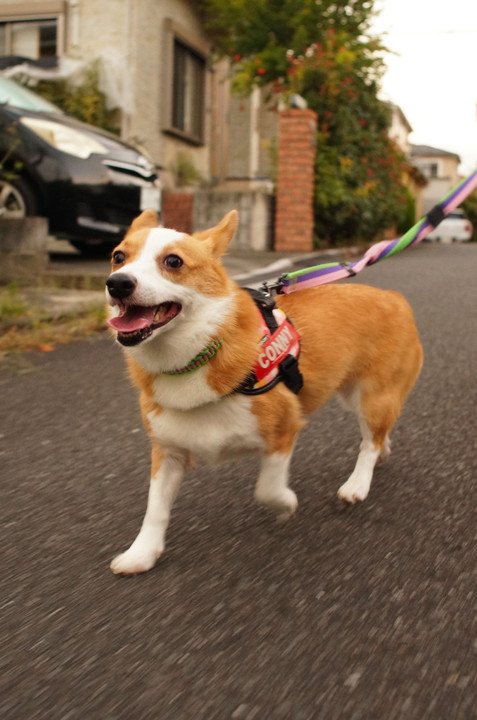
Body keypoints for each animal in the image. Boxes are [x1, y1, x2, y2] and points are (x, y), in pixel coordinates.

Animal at [104, 208, 420, 572]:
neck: (196, 358)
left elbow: (267, 489)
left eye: (173, 261)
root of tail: (394, 297)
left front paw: (286, 504)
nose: (118, 283)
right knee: (378, 437)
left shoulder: (283, 432)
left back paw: (357, 484)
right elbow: (154, 509)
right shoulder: (168, 452)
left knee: (369, 441)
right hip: (354, 396)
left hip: (373, 399)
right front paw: (141, 554)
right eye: (118, 257)